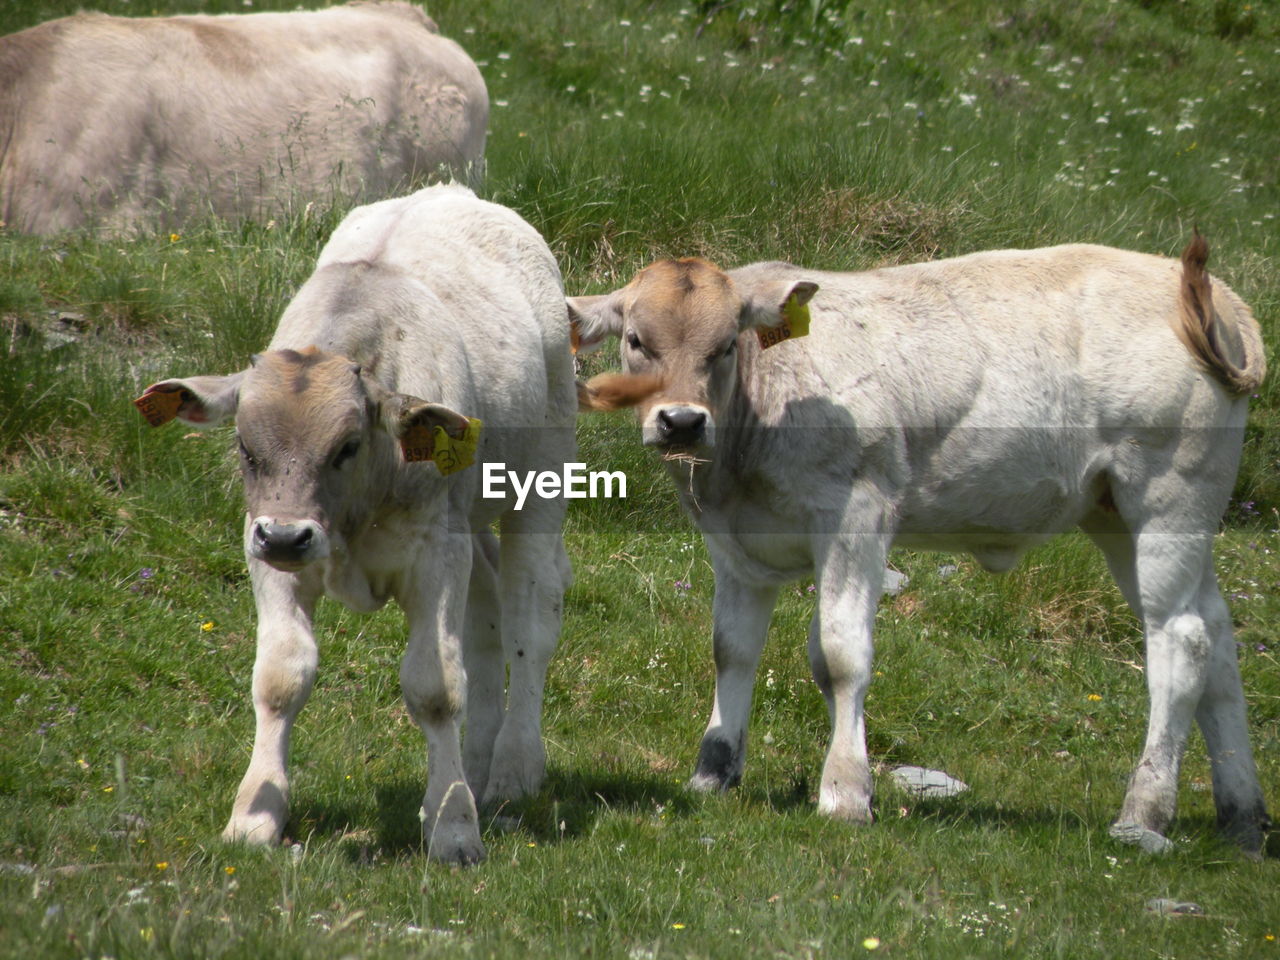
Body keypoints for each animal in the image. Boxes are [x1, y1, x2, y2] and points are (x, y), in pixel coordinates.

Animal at [133, 184, 570, 870]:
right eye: (244, 446)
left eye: (346, 446)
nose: (287, 536)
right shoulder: (268, 554)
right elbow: (280, 677)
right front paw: (254, 815)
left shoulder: (435, 555)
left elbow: (435, 686)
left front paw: (453, 827)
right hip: (469, 518)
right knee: (487, 613)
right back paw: (475, 762)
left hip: (541, 477)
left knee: (530, 613)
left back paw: (512, 768)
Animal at [570, 232, 1269, 855]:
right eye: (637, 341)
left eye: (723, 347)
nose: (682, 421)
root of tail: (1211, 294)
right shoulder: (737, 544)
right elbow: (732, 650)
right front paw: (712, 774)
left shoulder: (857, 512)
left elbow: (839, 653)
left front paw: (846, 793)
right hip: (1118, 514)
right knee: (1218, 640)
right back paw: (1244, 819)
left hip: (1168, 496)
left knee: (1181, 640)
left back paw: (1144, 811)